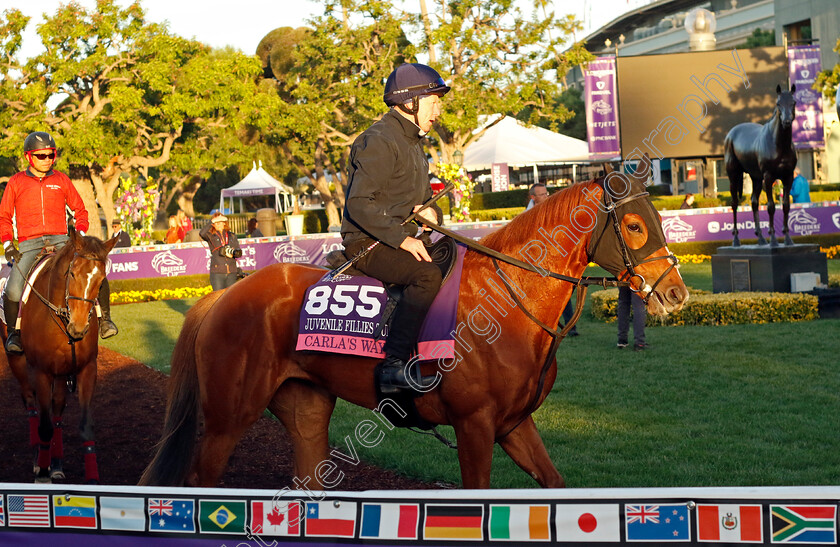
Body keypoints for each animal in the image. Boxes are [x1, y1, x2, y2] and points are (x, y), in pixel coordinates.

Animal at [2, 228, 116, 484]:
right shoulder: (41, 371)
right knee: (30, 401)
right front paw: (43, 474)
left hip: (62, 371)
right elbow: (44, 426)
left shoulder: (86, 369)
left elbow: (84, 425)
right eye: (72, 273)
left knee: (57, 409)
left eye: (101, 279)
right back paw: (39, 460)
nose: (79, 326)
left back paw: (56, 463)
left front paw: (91, 479)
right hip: (18, 361)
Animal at [139, 162, 688, 488]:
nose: (675, 292)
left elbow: (554, 485)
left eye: (657, 218)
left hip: (306, 406)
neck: (507, 302)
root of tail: (224, 295)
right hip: (227, 418)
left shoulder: (515, 424)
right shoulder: (475, 426)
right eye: (633, 225)